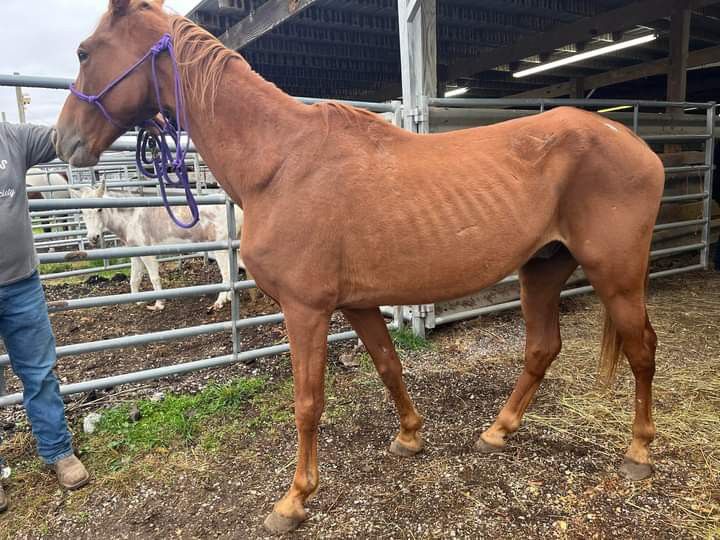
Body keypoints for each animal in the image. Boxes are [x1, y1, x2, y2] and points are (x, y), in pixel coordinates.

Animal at [71, 180, 245, 312]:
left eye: (100, 209)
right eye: (82, 212)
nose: (93, 238)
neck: (131, 218)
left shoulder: (147, 252)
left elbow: (153, 277)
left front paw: (159, 304)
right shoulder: (135, 253)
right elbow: (134, 278)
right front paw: (138, 301)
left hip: (221, 248)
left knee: (227, 273)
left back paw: (220, 301)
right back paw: (229, 297)